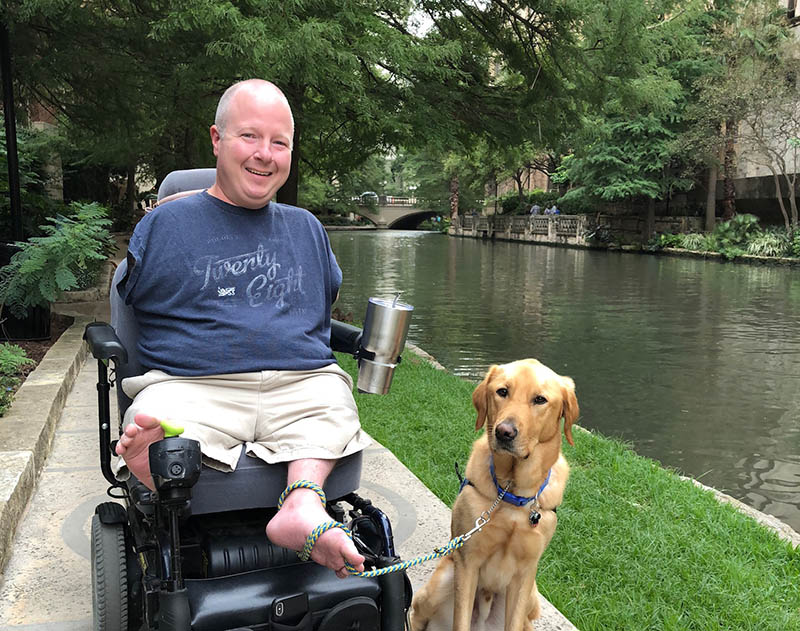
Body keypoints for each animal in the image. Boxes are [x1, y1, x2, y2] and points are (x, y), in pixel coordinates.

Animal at [410, 360, 580, 631]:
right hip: (441, 581)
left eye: (540, 399)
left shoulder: (525, 573)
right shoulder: (468, 562)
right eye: (502, 392)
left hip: (531, 601)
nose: (504, 432)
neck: (511, 492)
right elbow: (460, 621)